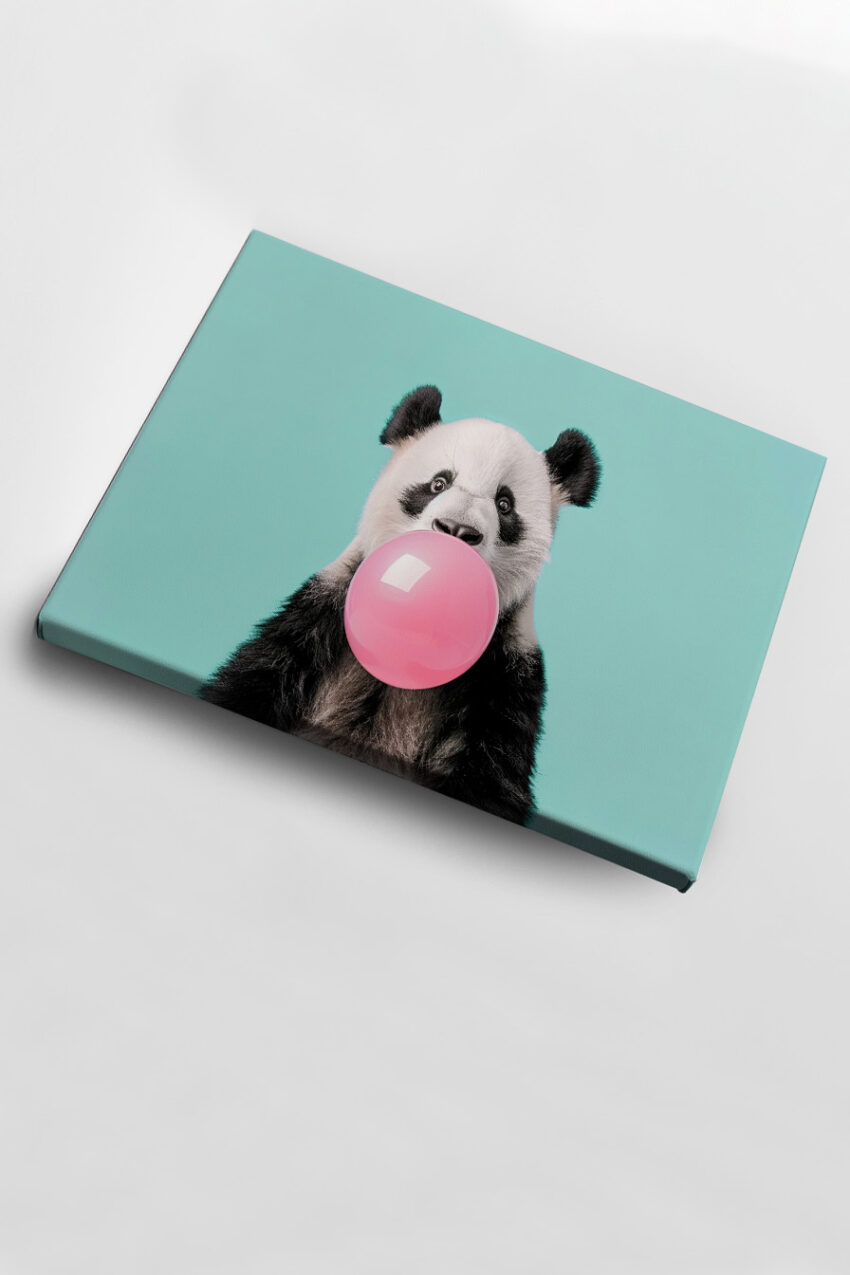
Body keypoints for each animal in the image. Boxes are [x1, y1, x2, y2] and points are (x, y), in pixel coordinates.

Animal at [201, 386, 600, 826]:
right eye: (439, 483)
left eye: (504, 504)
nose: (456, 530)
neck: (412, 647)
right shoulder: (316, 622)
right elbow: (255, 677)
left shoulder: (504, 679)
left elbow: (494, 775)